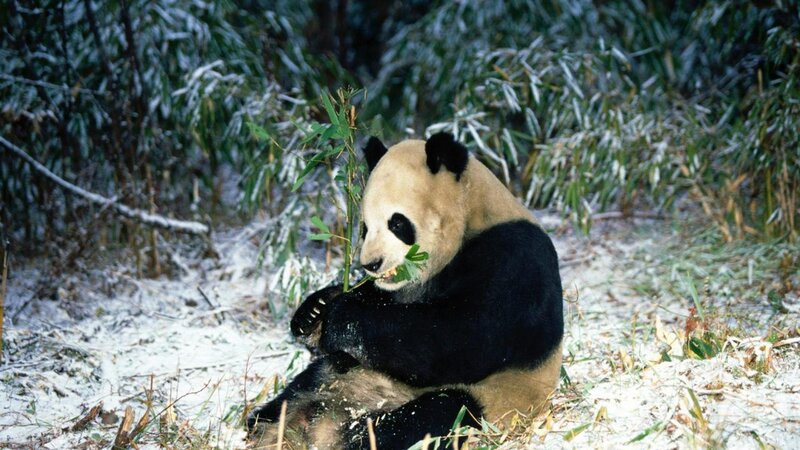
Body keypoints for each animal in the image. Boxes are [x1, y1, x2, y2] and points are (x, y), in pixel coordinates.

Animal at [247, 132, 563, 449]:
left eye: (397, 223)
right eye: (365, 227)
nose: (371, 263)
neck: (473, 218)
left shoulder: (513, 259)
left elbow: (466, 336)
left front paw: (339, 316)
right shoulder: (397, 289)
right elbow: (377, 300)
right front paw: (314, 311)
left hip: (485, 402)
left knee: (431, 416)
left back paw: (358, 438)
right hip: (333, 374)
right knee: (294, 394)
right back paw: (268, 429)